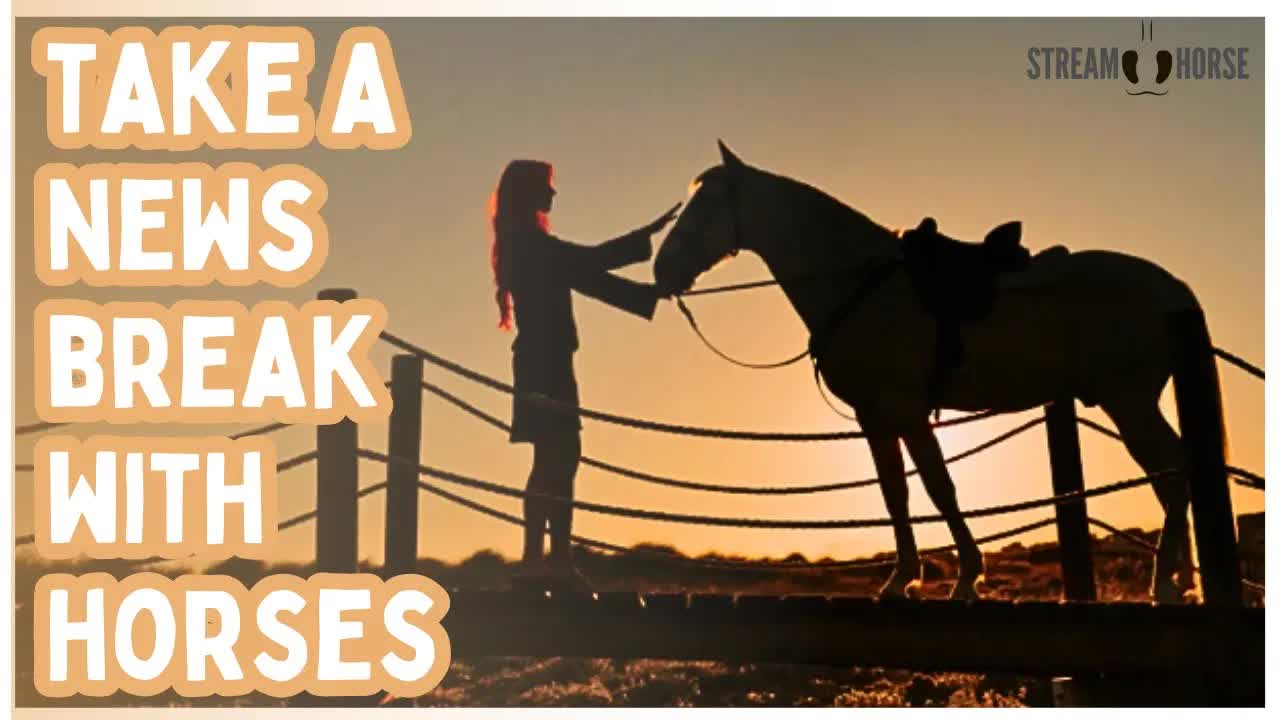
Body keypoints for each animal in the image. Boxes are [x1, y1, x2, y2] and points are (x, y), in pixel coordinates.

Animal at [653, 141, 1201, 602]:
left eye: (707, 205)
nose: (663, 271)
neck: (859, 283)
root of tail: (1171, 288)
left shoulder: (907, 411)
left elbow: (939, 486)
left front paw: (965, 578)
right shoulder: (874, 418)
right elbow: (895, 491)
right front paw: (902, 578)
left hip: (1128, 401)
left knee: (1173, 476)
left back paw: (1163, 585)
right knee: (1173, 475)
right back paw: (1179, 581)